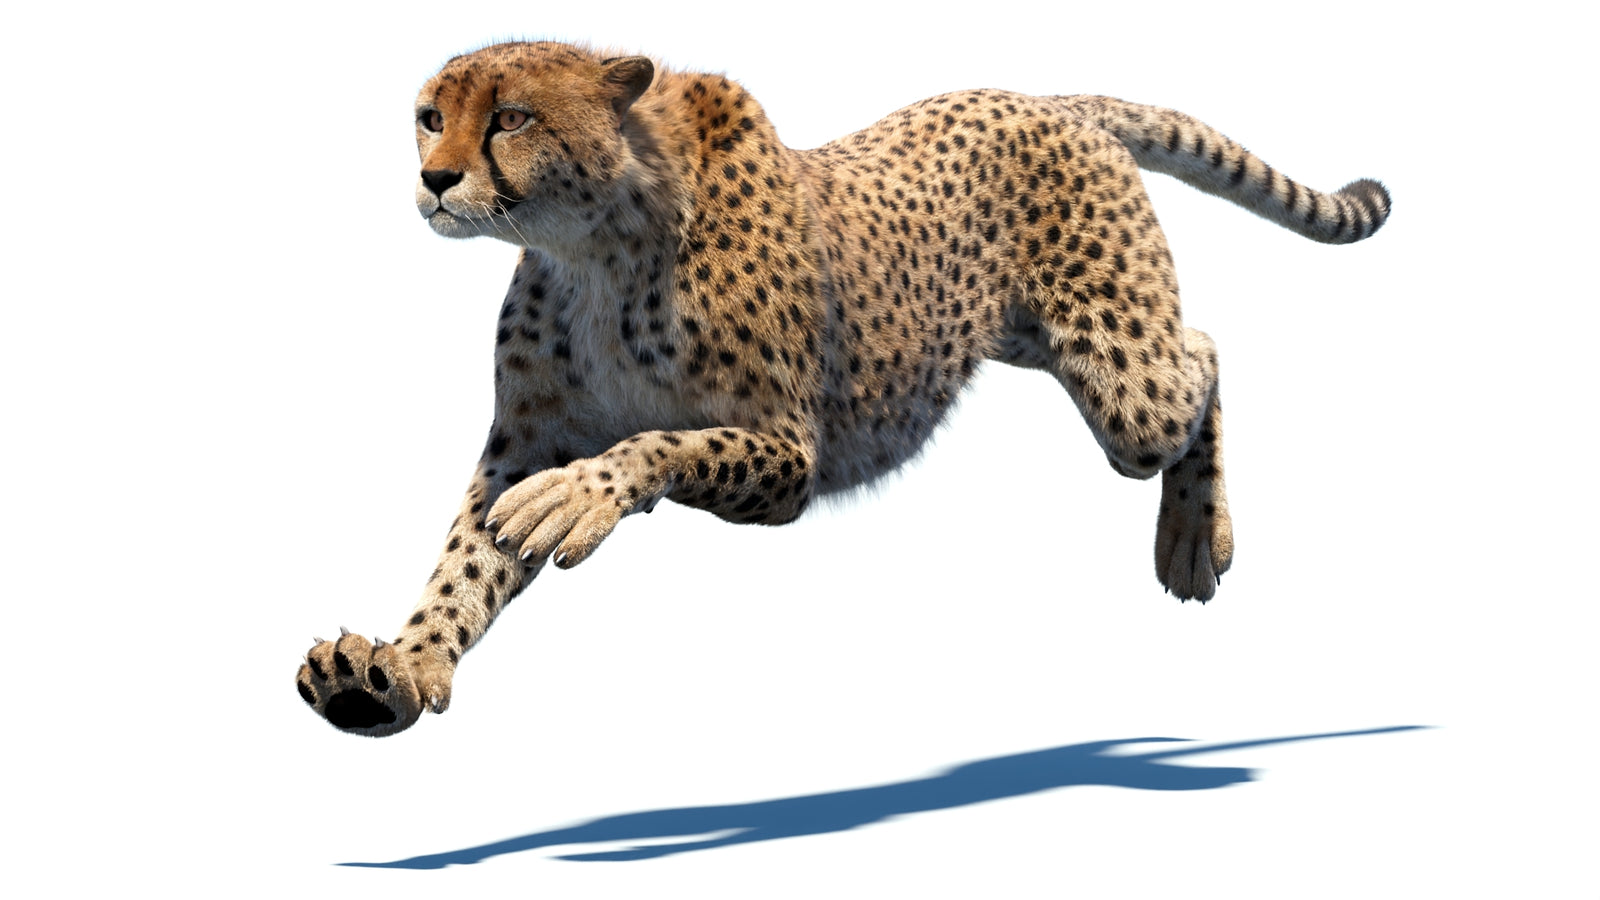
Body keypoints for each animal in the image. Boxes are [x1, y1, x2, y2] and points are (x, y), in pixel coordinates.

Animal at [296, 41, 1390, 737]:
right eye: (430, 118)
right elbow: (462, 566)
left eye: (511, 117)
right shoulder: (520, 442)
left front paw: (581, 499)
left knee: (1201, 352)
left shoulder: (787, 454)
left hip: (1122, 380)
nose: (435, 178)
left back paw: (1195, 538)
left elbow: (660, 445)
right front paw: (395, 672)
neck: (594, 243)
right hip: (1021, 338)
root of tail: (1039, 97)